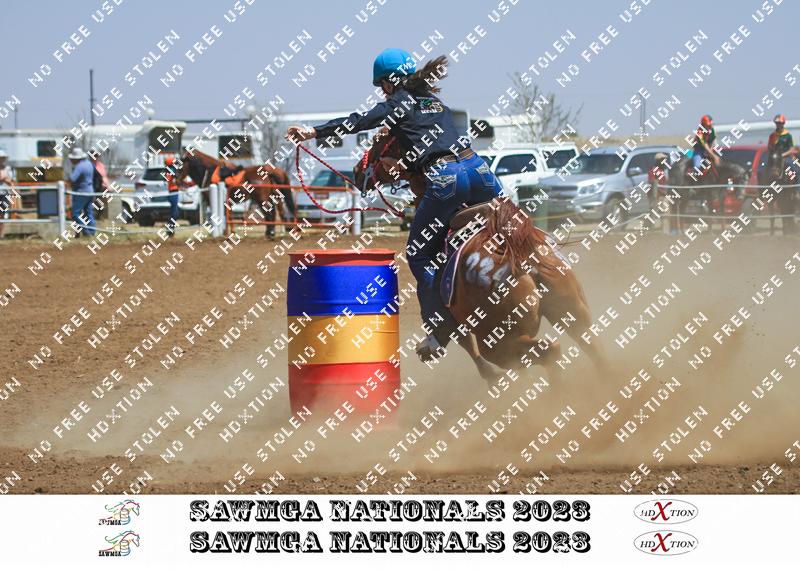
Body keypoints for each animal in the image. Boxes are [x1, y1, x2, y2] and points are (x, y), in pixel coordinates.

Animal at [353, 132, 611, 382]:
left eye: (378, 139)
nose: (356, 171)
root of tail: (523, 257)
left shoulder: (456, 325)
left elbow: (475, 357)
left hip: (499, 341)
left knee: (548, 351)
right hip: (573, 311)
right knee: (593, 349)